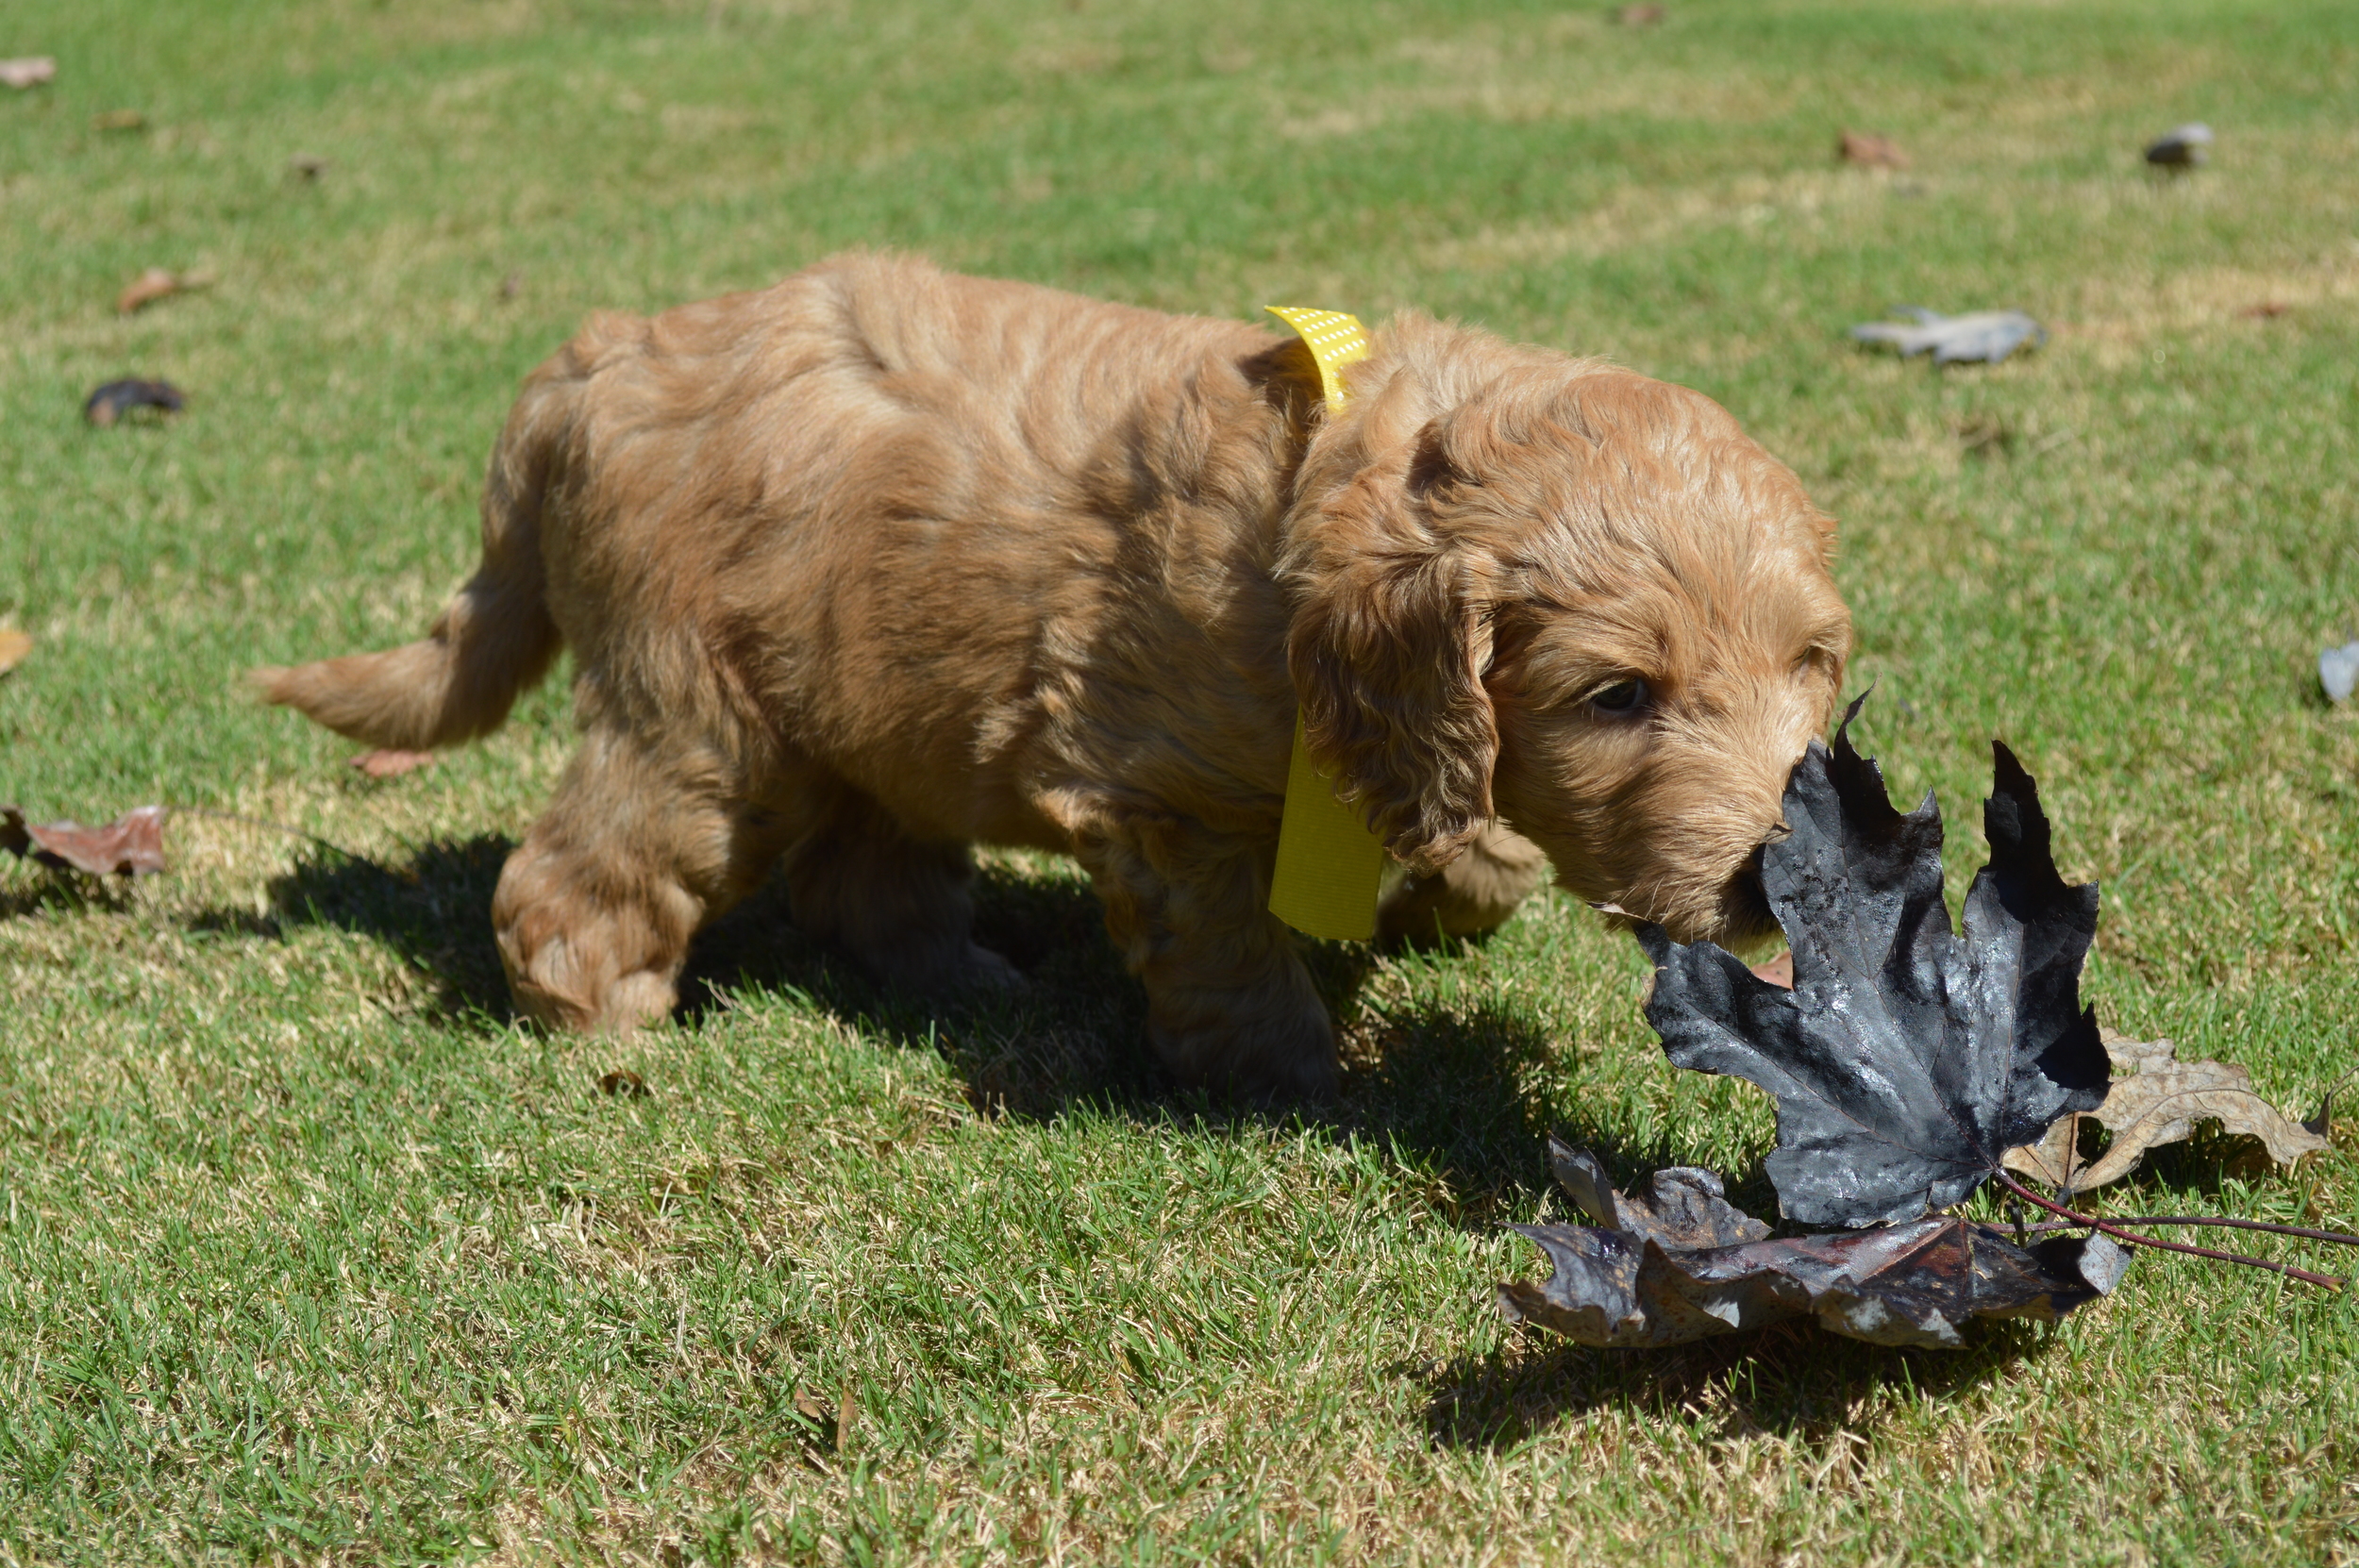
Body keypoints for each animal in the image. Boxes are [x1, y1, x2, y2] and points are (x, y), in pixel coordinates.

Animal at [267, 251, 1849, 1093]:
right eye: (1619, 696)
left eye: (1812, 666)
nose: (1783, 881)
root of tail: (589, 365)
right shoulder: (1159, 785)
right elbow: (1226, 949)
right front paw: (1289, 1070)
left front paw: (1460, 880)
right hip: (698, 708)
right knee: (588, 863)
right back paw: (604, 1014)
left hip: (863, 695)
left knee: (862, 866)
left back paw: (966, 972)